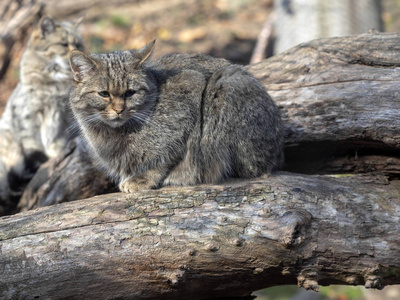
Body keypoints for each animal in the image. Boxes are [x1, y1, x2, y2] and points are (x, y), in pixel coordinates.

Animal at [0, 16, 83, 213]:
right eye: (63, 44)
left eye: (78, 44)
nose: (75, 51)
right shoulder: (29, 116)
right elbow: (34, 148)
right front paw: (42, 160)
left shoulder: (64, 117)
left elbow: (59, 140)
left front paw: (56, 153)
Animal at [69, 39, 284, 192]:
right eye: (104, 94)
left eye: (130, 93)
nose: (119, 109)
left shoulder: (191, 89)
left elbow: (165, 157)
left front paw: (144, 178)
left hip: (226, 84)